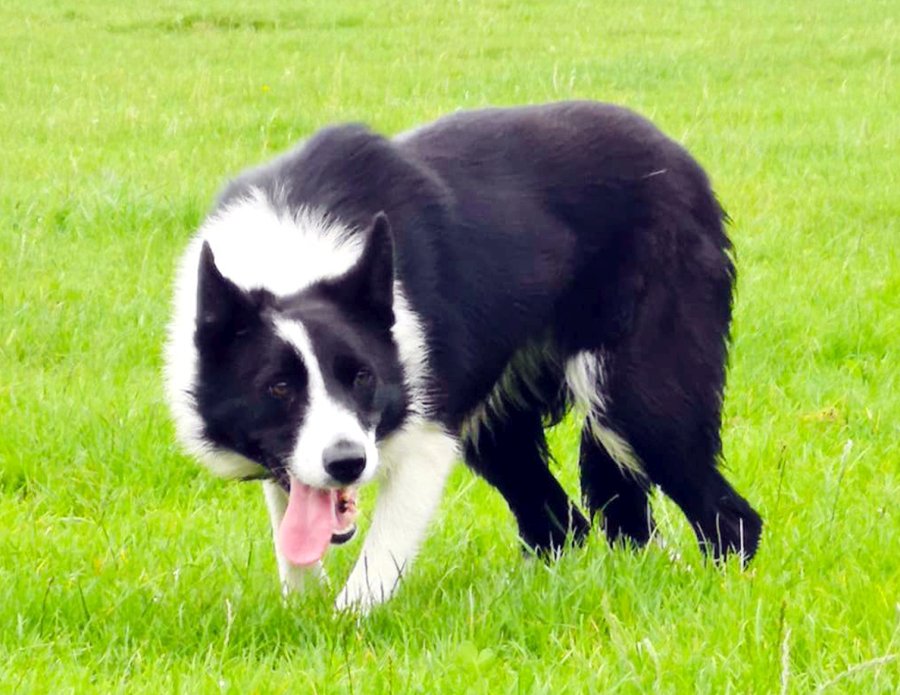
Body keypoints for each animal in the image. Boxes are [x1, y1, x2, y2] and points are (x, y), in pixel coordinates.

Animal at [165, 100, 764, 612]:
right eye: (278, 388)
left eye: (362, 377)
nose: (348, 464)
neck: (292, 264)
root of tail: (680, 160)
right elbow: (296, 550)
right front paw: (301, 609)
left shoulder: (427, 439)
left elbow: (371, 574)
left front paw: (341, 630)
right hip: (502, 423)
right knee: (562, 524)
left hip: (634, 401)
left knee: (731, 519)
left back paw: (728, 593)